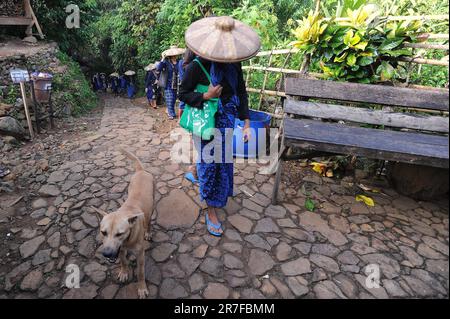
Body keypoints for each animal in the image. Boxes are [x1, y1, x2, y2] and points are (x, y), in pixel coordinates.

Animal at [92, 150, 154, 300]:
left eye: (119, 233)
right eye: (103, 232)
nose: (107, 254)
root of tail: (141, 171)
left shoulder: (140, 255)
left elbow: (140, 273)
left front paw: (142, 288)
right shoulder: (119, 249)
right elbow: (123, 261)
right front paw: (124, 272)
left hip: (151, 209)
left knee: (149, 222)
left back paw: (148, 232)